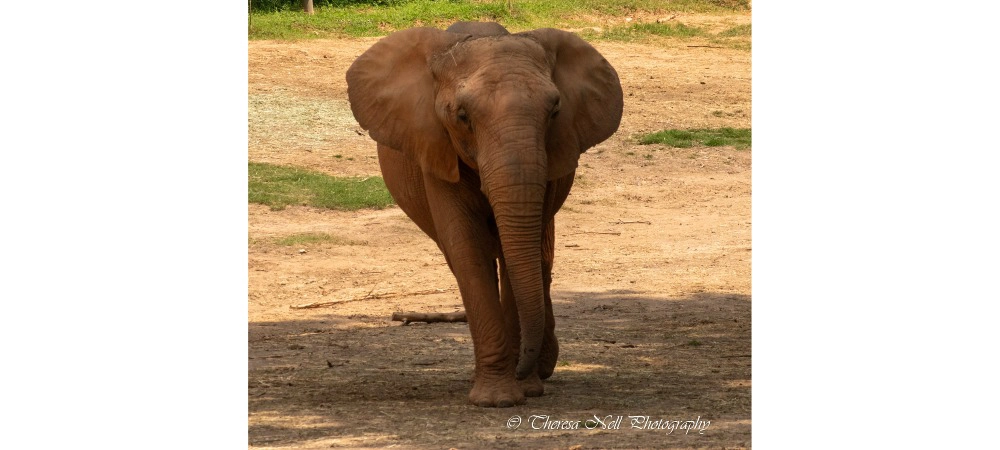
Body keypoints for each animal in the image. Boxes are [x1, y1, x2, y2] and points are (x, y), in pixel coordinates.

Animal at [345, 22, 623, 407]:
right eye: (462, 117)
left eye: (554, 111)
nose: (522, 370)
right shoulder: (436, 151)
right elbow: (468, 249)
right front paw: (497, 399)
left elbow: (519, 252)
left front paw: (524, 389)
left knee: (541, 258)